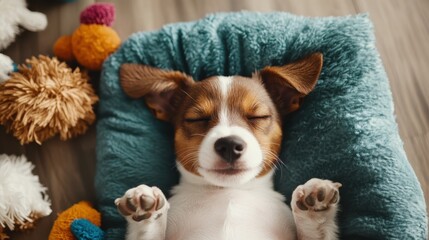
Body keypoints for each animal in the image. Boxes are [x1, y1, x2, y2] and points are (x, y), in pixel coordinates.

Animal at [114, 53, 342, 240]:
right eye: (197, 119)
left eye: (258, 116)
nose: (230, 145)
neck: (228, 192)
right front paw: (145, 206)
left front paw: (314, 202)